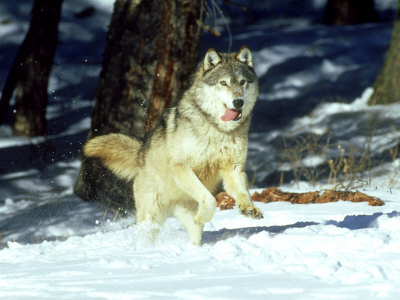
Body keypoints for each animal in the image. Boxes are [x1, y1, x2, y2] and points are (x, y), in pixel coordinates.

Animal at [83, 45, 264, 245]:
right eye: (223, 83)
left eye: (242, 82)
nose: (238, 102)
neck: (218, 130)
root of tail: (140, 154)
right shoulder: (180, 166)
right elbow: (210, 199)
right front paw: (202, 216)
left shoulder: (234, 169)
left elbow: (242, 193)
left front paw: (249, 208)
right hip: (150, 219)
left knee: (194, 235)